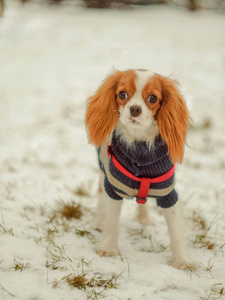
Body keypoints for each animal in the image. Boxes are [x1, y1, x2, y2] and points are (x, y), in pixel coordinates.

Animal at [85, 68, 196, 270]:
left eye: (152, 98)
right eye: (122, 94)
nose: (135, 109)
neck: (140, 146)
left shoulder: (168, 194)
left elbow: (176, 230)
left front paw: (183, 261)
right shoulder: (113, 186)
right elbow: (111, 219)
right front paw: (107, 248)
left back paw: (144, 218)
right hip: (102, 170)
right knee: (101, 197)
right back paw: (98, 221)